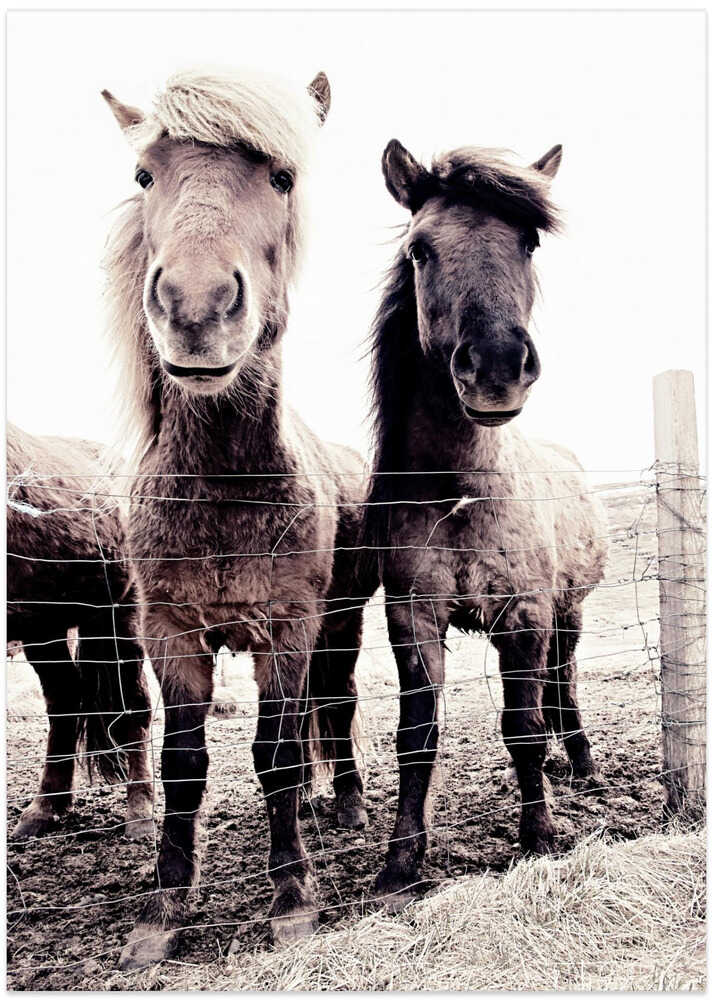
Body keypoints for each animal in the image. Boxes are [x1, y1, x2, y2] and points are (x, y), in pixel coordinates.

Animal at [7, 422, 154, 840]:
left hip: (120, 617)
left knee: (134, 704)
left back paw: (141, 813)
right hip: (45, 627)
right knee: (65, 702)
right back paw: (44, 809)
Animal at [100, 69, 368, 970]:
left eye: (282, 177)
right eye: (144, 174)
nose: (196, 304)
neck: (221, 487)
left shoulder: (288, 626)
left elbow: (277, 755)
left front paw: (292, 900)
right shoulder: (171, 633)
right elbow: (183, 765)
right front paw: (162, 911)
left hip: (340, 623)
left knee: (335, 702)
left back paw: (345, 800)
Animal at [363, 139, 608, 909]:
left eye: (529, 241)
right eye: (419, 249)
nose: (497, 366)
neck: (461, 493)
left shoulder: (525, 614)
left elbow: (523, 726)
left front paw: (540, 837)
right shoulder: (413, 616)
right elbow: (416, 735)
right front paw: (400, 865)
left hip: (569, 613)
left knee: (562, 683)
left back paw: (581, 764)